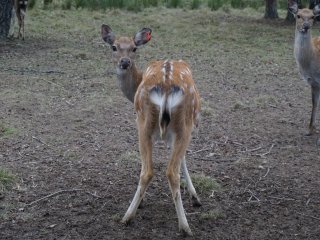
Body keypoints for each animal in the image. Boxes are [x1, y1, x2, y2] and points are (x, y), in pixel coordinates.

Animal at [101, 25, 201, 235]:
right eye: (114, 47)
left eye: (134, 48)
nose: (124, 62)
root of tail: (166, 86)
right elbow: (183, 159)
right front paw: (194, 197)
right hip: (180, 125)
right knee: (165, 171)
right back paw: (183, 226)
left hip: (145, 122)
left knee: (152, 170)